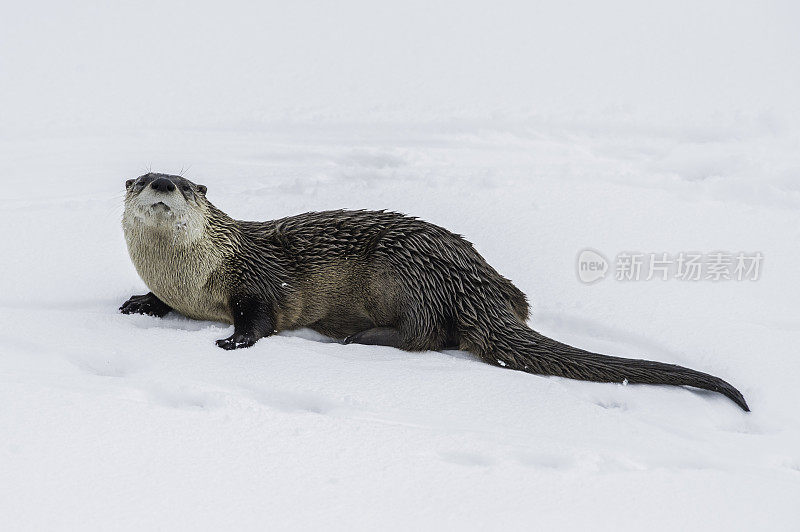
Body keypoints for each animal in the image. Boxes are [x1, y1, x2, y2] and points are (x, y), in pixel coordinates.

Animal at [119, 172, 752, 410]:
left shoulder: (255, 280)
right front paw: (138, 303)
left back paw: (360, 338)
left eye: (183, 184)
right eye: (144, 177)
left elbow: (261, 318)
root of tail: (475, 286)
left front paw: (233, 342)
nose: (162, 184)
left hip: (403, 274)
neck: (193, 276)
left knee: (424, 336)